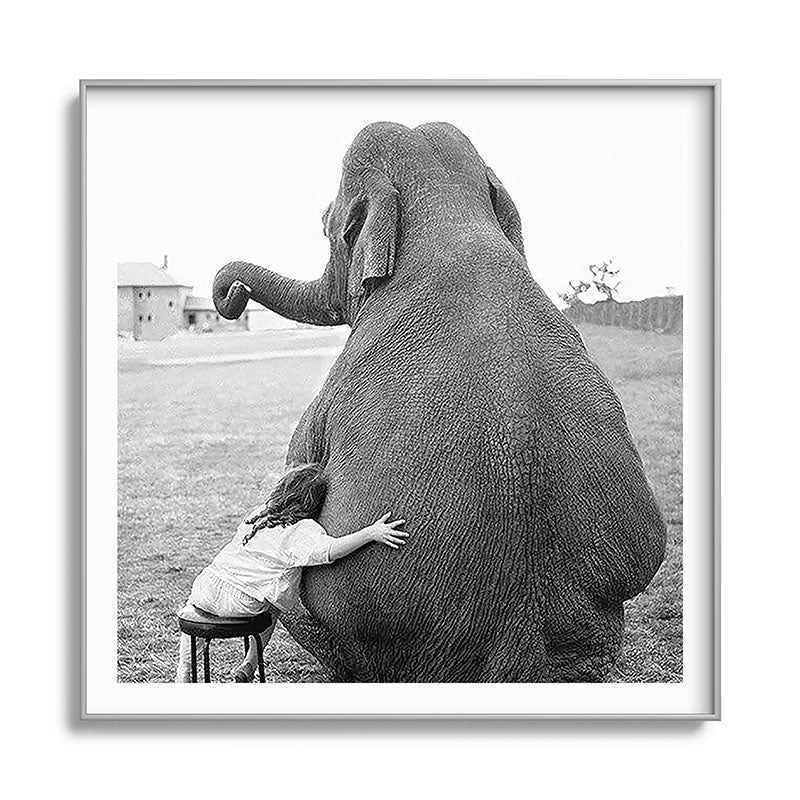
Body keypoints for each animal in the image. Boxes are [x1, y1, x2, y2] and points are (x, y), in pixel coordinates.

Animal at [212, 121, 667, 682]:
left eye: (324, 223)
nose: (231, 292)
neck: (449, 215)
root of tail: (521, 658)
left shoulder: (330, 392)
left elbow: (299, 469)